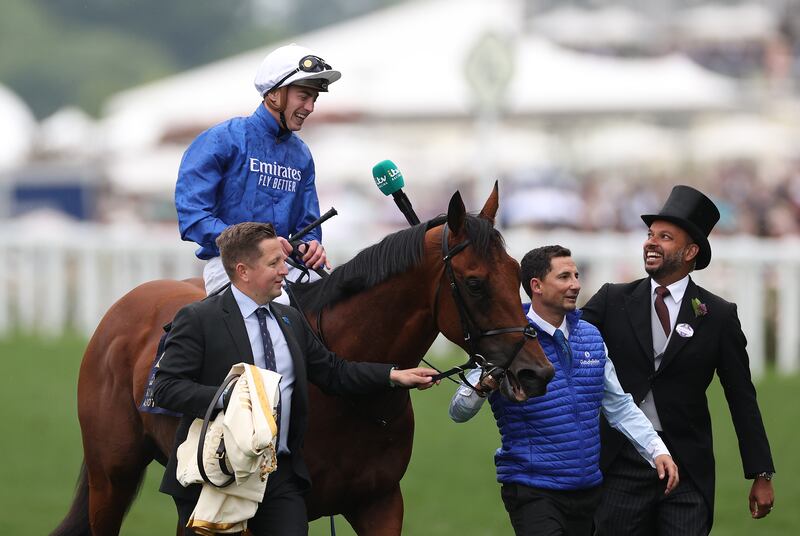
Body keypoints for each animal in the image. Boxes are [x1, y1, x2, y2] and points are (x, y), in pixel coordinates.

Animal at [53, 185, 552, 536]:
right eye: (474, 283)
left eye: (517, 273)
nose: (537, 371)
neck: (352, 401)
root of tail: (123, 307)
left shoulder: (379, 502)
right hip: (111, 474)